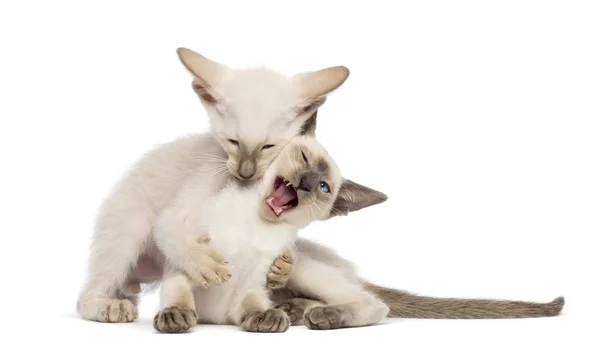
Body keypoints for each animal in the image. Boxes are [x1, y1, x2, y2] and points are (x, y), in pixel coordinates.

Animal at [75, 48, 350, 324]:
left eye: (268, 147)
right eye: (233, 142)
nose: (245, 173)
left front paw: (282, 269)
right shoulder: (203, 178)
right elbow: (169, 230)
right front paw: (204, 266)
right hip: (132, 226)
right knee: (87, 296)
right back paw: (110, 307)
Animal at [150, 135, 384, 334]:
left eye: (323, 187)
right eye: (304, 157)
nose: (306, 183)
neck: (253, 223)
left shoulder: (250, 285)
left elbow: (253, 303)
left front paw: (265, 317)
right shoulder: (186, 266)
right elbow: (179, 291)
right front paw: (175, 314)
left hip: (303, 271)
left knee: (374, 303)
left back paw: (319, 314)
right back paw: (292, 309)